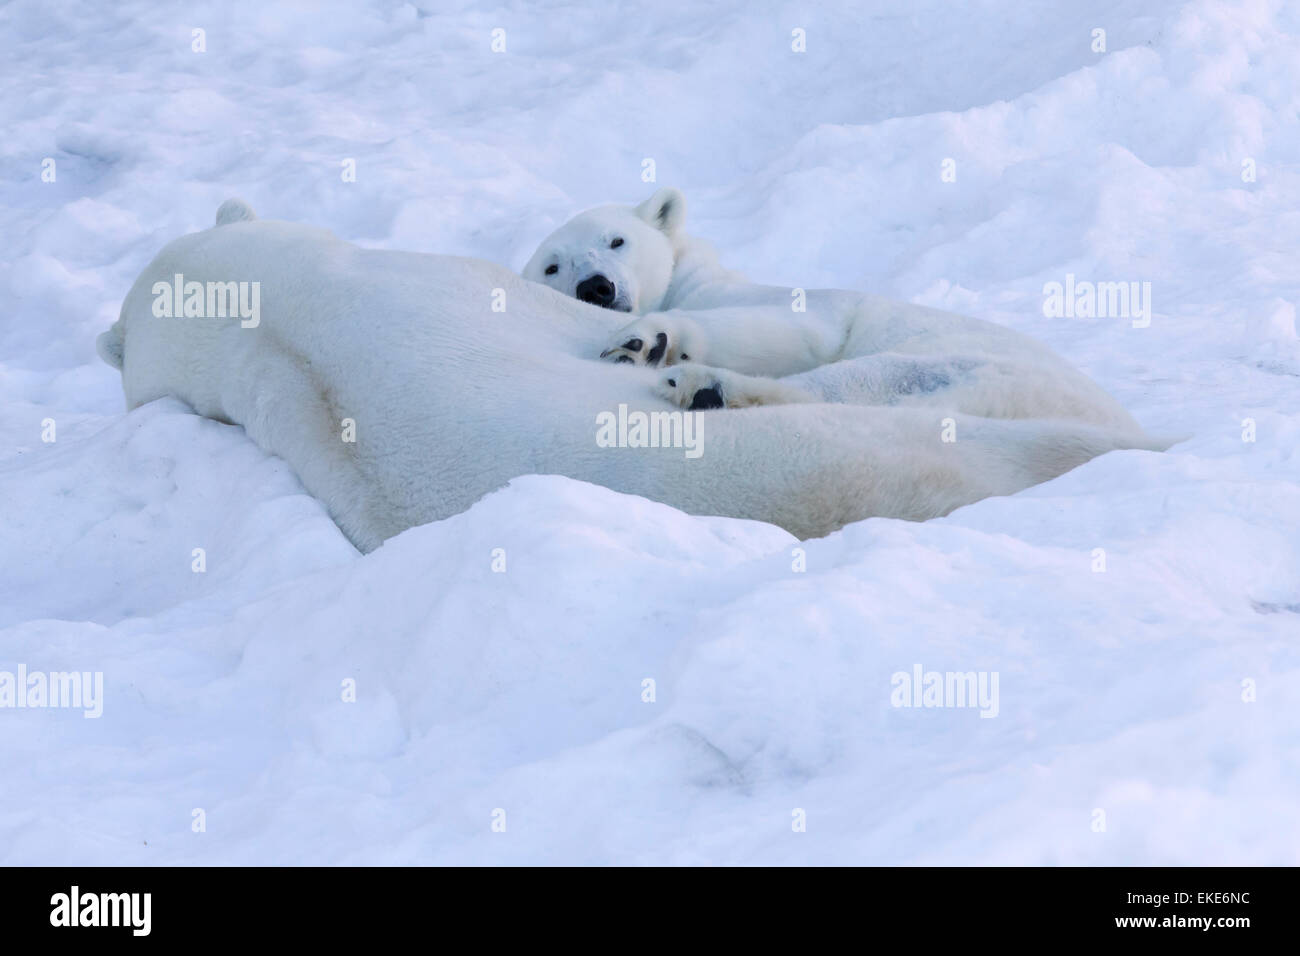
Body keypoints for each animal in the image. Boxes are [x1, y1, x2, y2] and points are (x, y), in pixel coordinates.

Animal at [522, 188, 1144, 431]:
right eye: (552, 267)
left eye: (616, 240)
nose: (596, 287)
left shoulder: (793, 304)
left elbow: (794, 328)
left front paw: (643, 340)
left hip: (976, 367)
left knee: (862, 381)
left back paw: (705, 386)